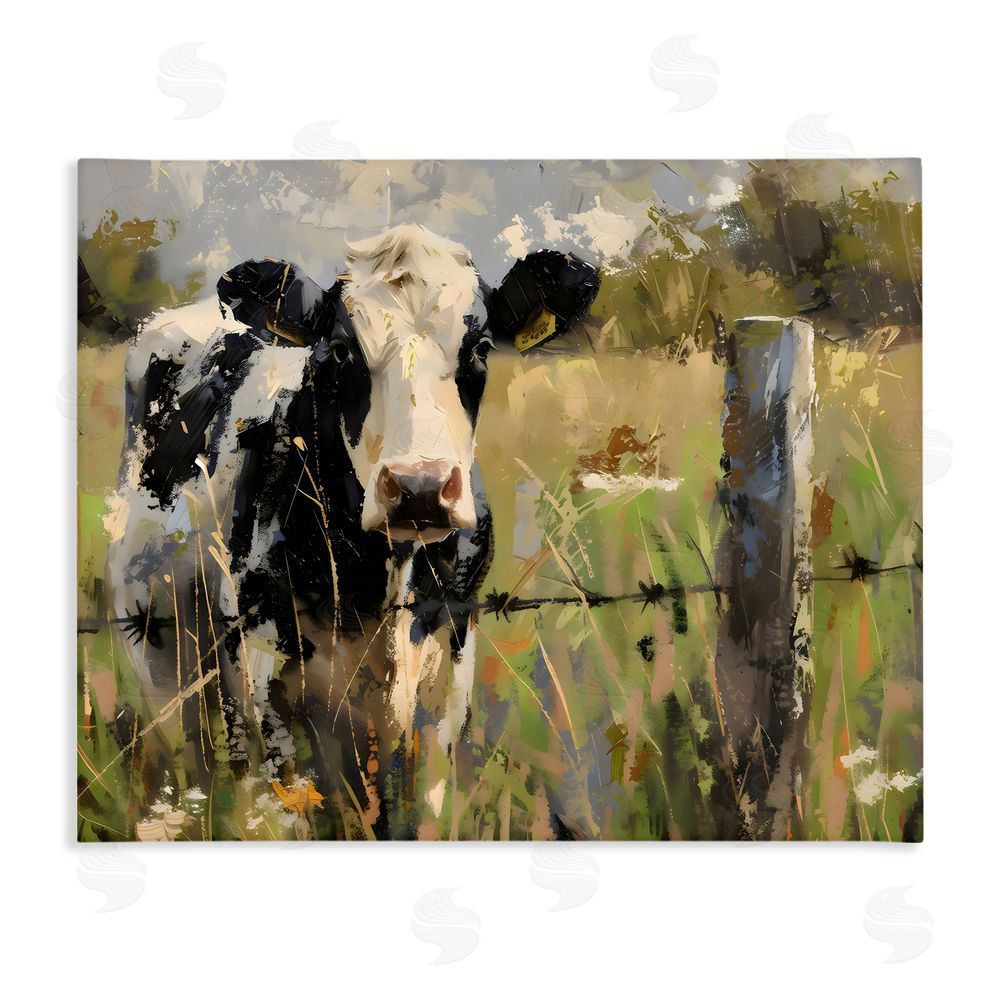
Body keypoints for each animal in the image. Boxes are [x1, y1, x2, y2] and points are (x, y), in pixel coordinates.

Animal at [106, 224, 599, 837]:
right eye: (341, 350)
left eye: (481, 348)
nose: (419, 487)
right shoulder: (264, 672)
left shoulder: (446, 672)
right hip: (155, 636)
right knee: (190, 752)